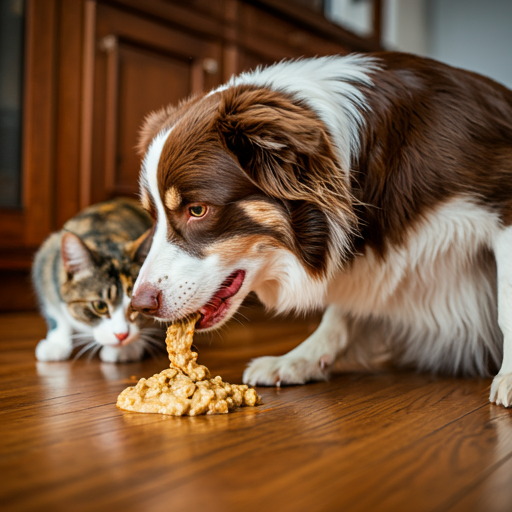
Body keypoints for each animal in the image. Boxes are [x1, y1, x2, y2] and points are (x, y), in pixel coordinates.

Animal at [32, 198, 160, 362]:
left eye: (135, 306)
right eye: (99, 306)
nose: (122, 335)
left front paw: (127, 348)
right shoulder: (46, 263)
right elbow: (56, 313)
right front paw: (56, 344)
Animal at [129, 52, 512, 408]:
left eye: (197, 210)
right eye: (153, 216)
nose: (139, 305)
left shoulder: (502, 205)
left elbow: (506, 303)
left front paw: (509, 377)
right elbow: (340, 313)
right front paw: (300, 359)